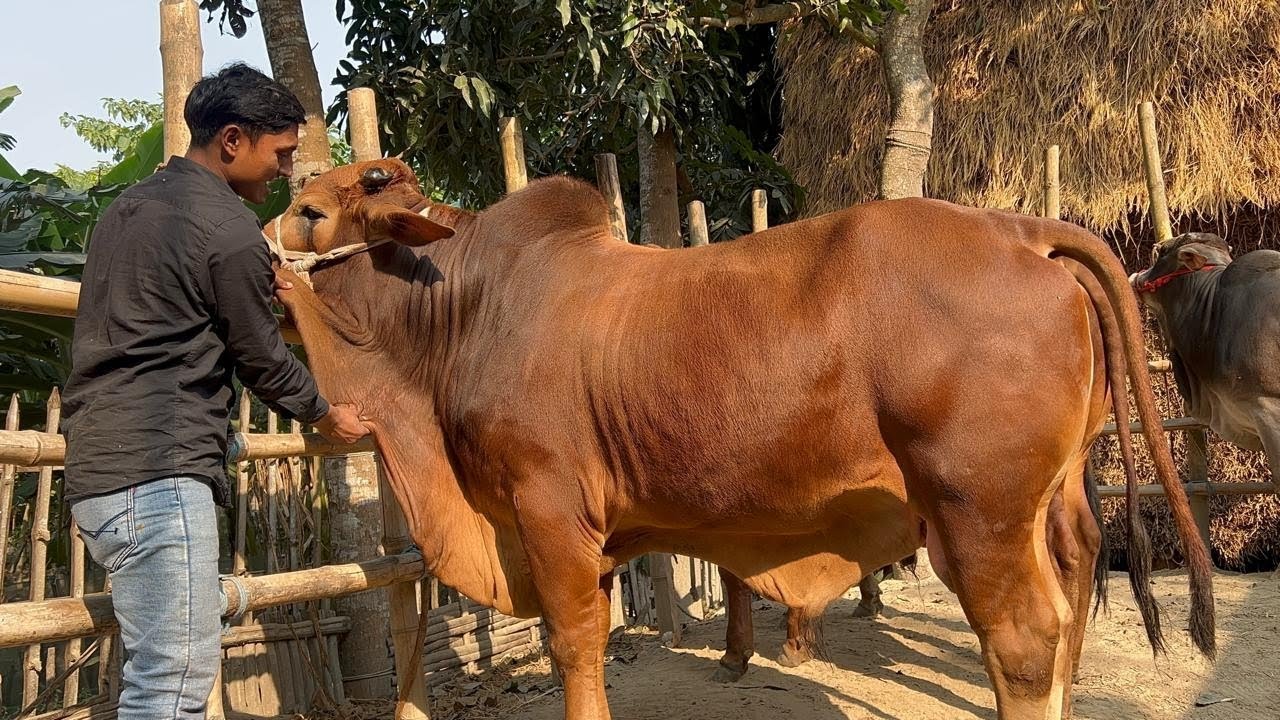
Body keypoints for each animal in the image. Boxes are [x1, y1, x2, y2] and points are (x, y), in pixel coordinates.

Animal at [267, 158, 1214, 720]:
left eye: (309, 211)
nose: (258, 251)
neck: (465, 309)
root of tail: (1022, 230)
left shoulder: (549, 513)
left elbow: (572, 642)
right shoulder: (593, 532)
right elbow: (593, 638)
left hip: (976, 512)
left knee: (1021, 641)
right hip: (1045, 494)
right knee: (1073, 572)